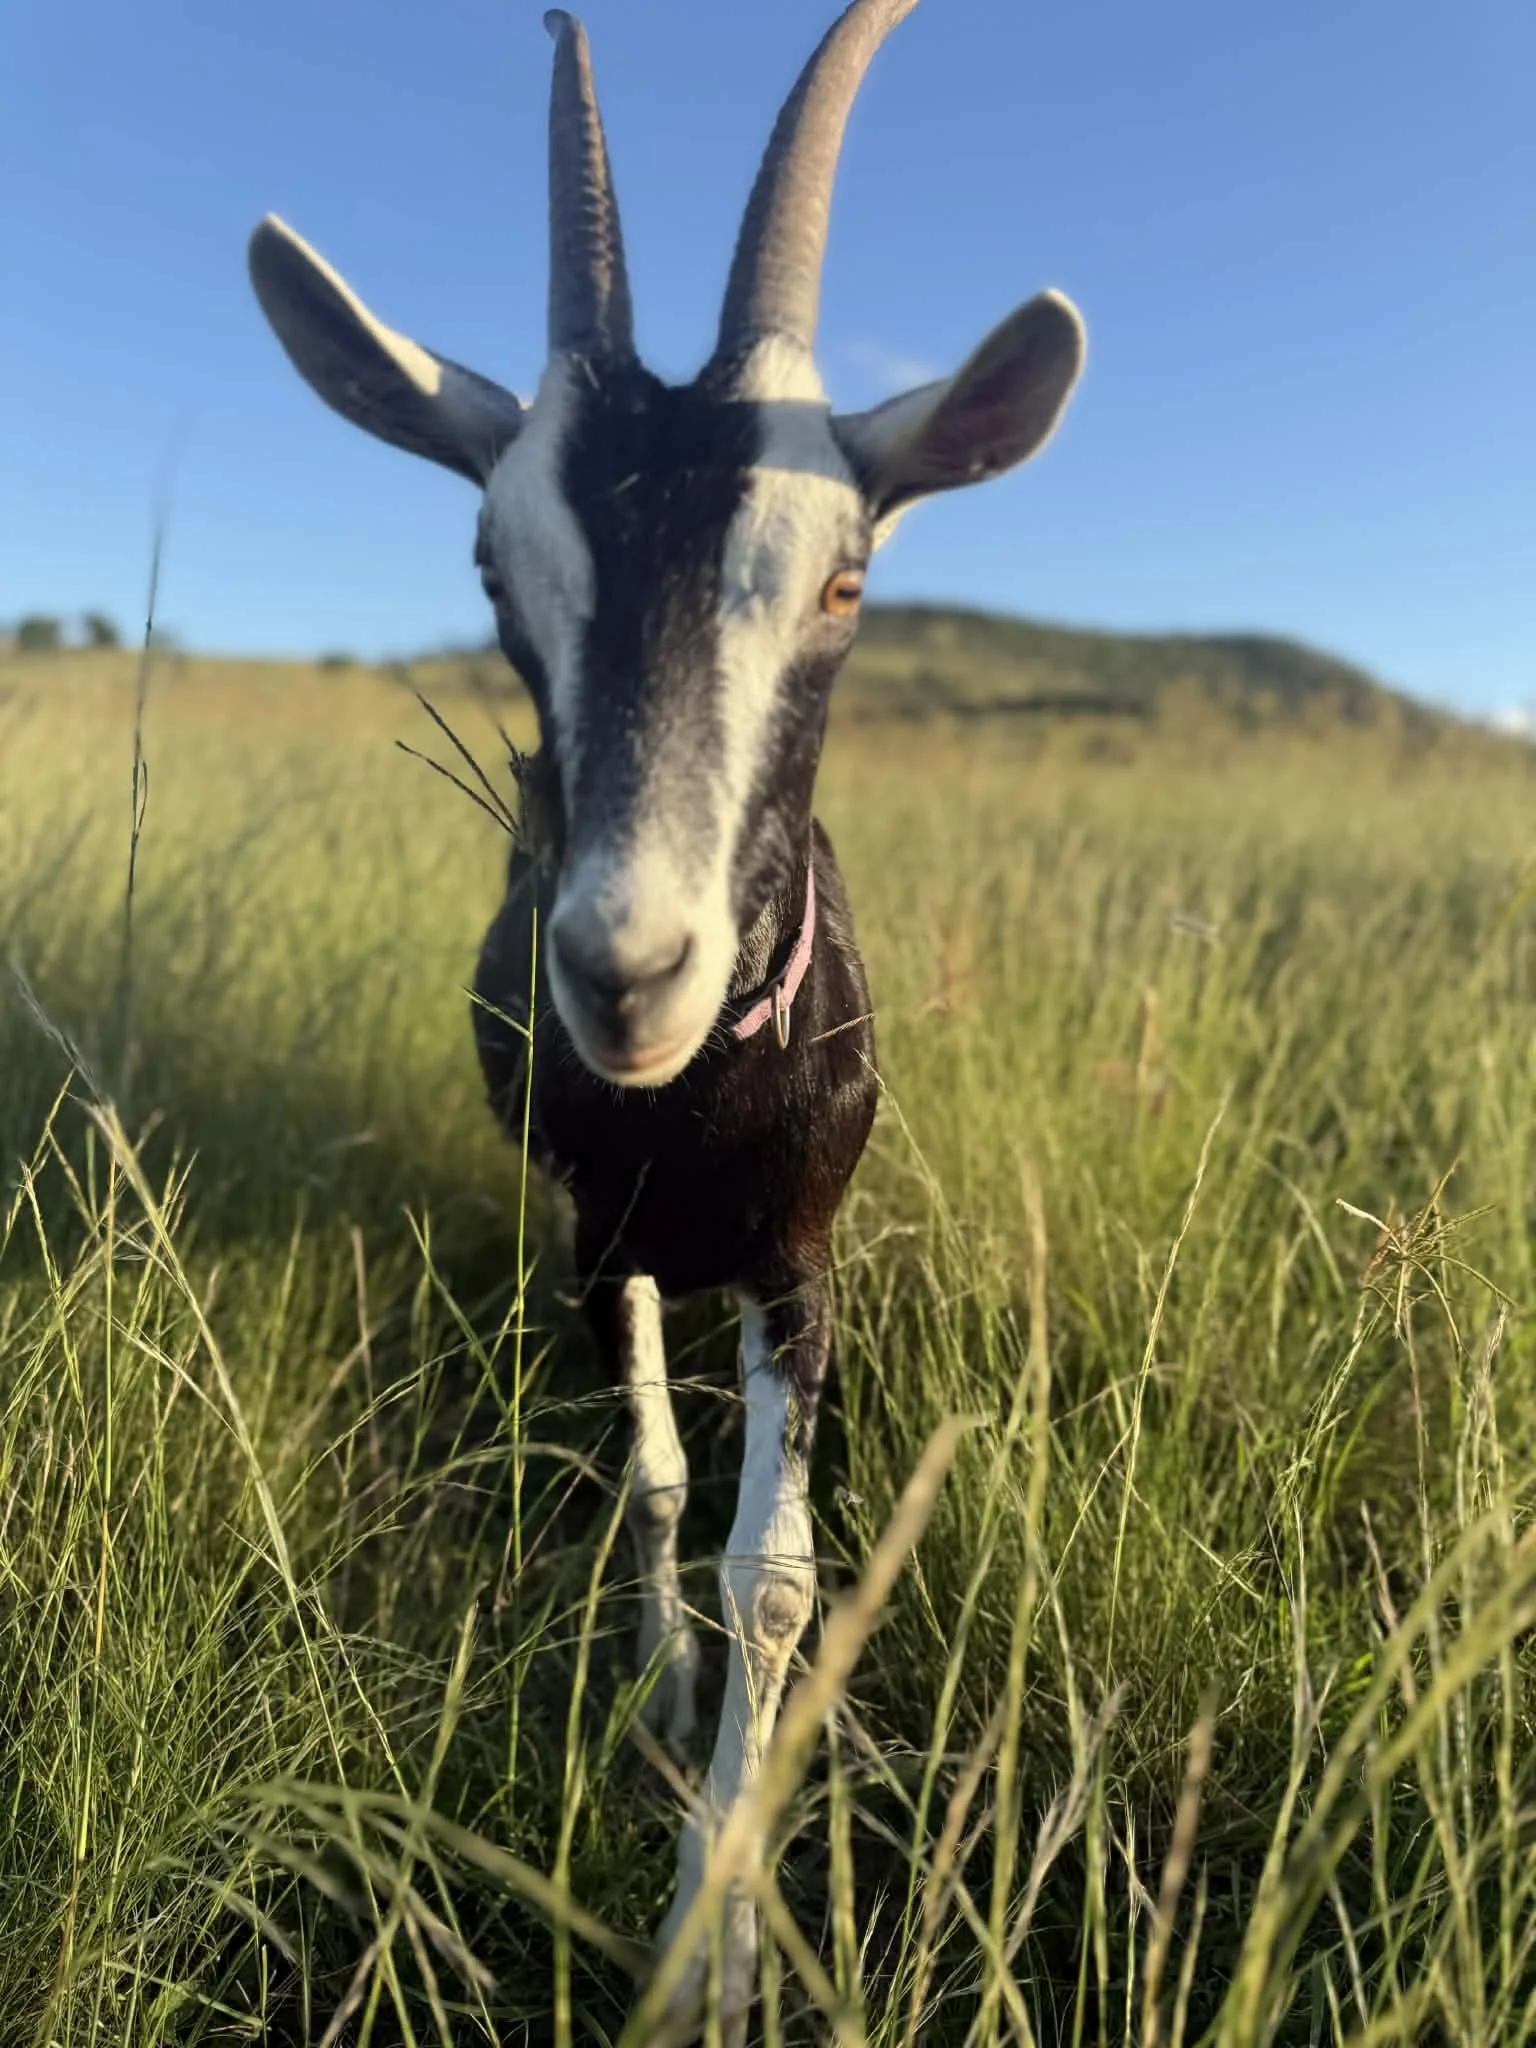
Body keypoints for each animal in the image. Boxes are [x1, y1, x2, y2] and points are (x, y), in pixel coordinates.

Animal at [248, 0, 1084, 2033]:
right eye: (494, 570)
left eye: (848, 575)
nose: (627, 972)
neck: (697, 1119)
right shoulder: (597, 1233)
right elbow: (649, 1485)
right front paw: (661, 1703)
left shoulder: (802, 1253)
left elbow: (776, 1568)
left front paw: (719, 1942)